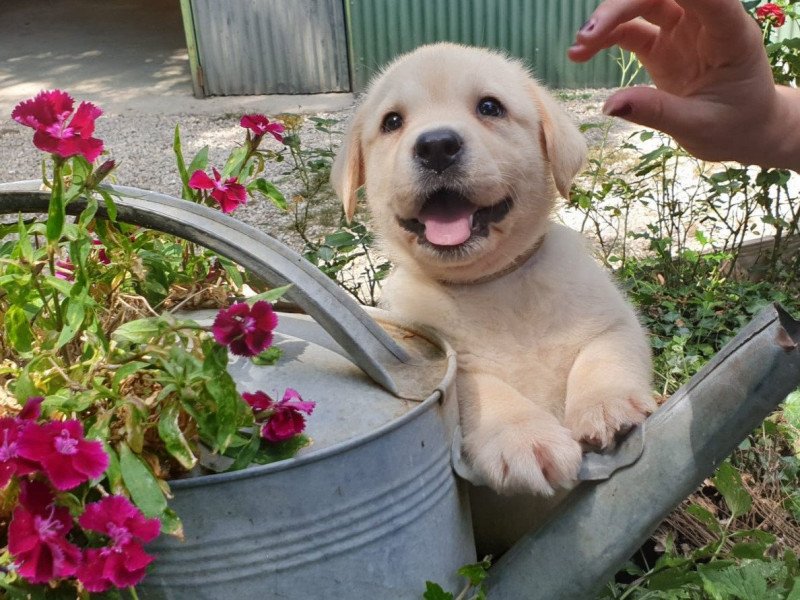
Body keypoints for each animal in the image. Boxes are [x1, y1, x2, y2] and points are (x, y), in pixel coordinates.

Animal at [332, 43, 656, 496]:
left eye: (490, 107)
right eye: (392, 121)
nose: (436, 146)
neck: (492, 283)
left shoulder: (614, 321)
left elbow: (604, 354)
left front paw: (605, 404)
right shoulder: (446, 362)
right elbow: (481, 387)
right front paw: (524, 436)